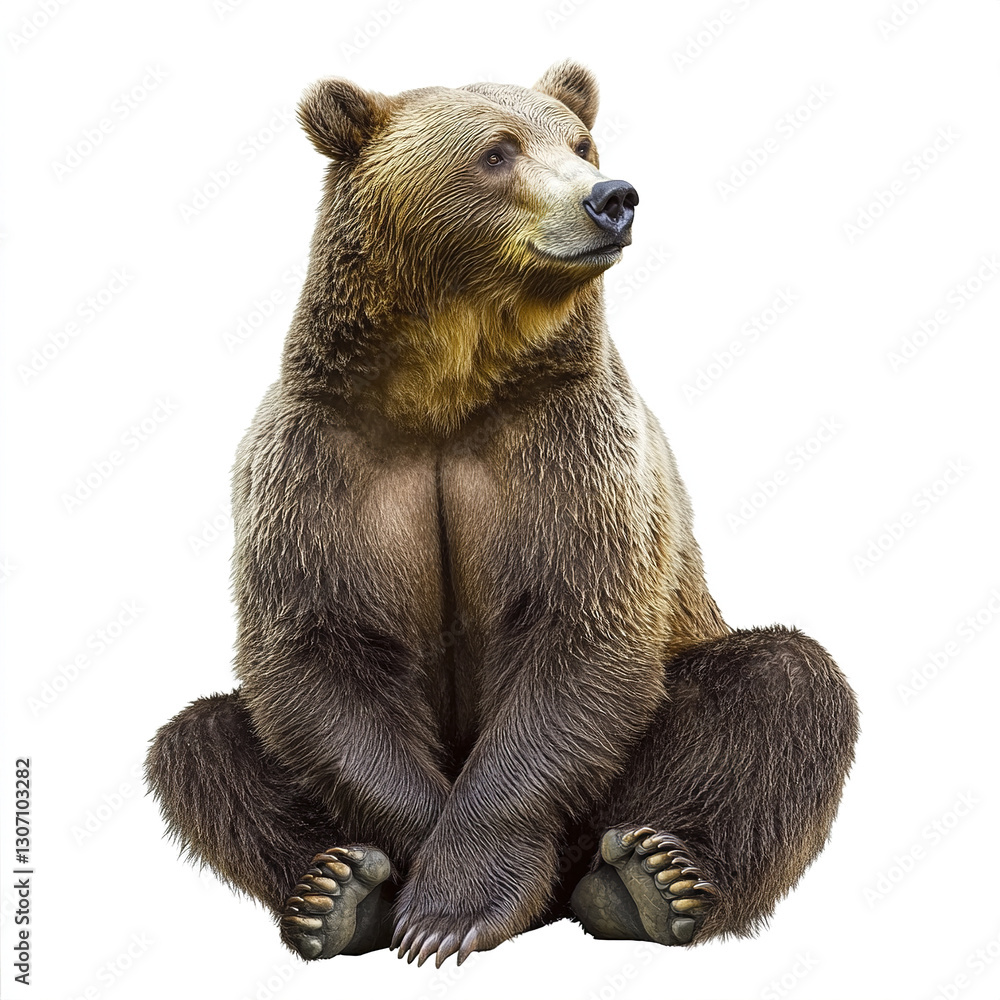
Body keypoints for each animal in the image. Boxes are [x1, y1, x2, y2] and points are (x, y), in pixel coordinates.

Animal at [145, 59, 859, 969]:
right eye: (496, 151)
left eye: (582, 143)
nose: (613, 198)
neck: (445, 391)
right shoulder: (325, 458)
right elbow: (321, 650)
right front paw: (409, 888)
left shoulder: (568, 447)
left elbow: (578, 628)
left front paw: (451, 909)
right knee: (199, 743)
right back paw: (334, 892)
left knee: (786, 683)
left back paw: (649, 881)